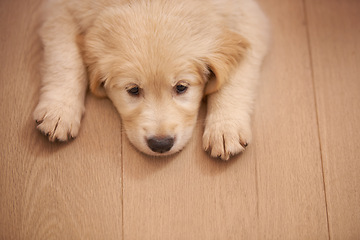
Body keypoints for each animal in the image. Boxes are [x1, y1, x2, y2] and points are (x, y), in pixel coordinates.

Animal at [33, 0, 268, 161]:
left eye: (181, 87)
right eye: (133, 90)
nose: (161, 144)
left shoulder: (248, 16)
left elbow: (236, 78)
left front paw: (225, 129)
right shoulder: (60, 9)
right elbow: (64, 57)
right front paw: (59, 111)